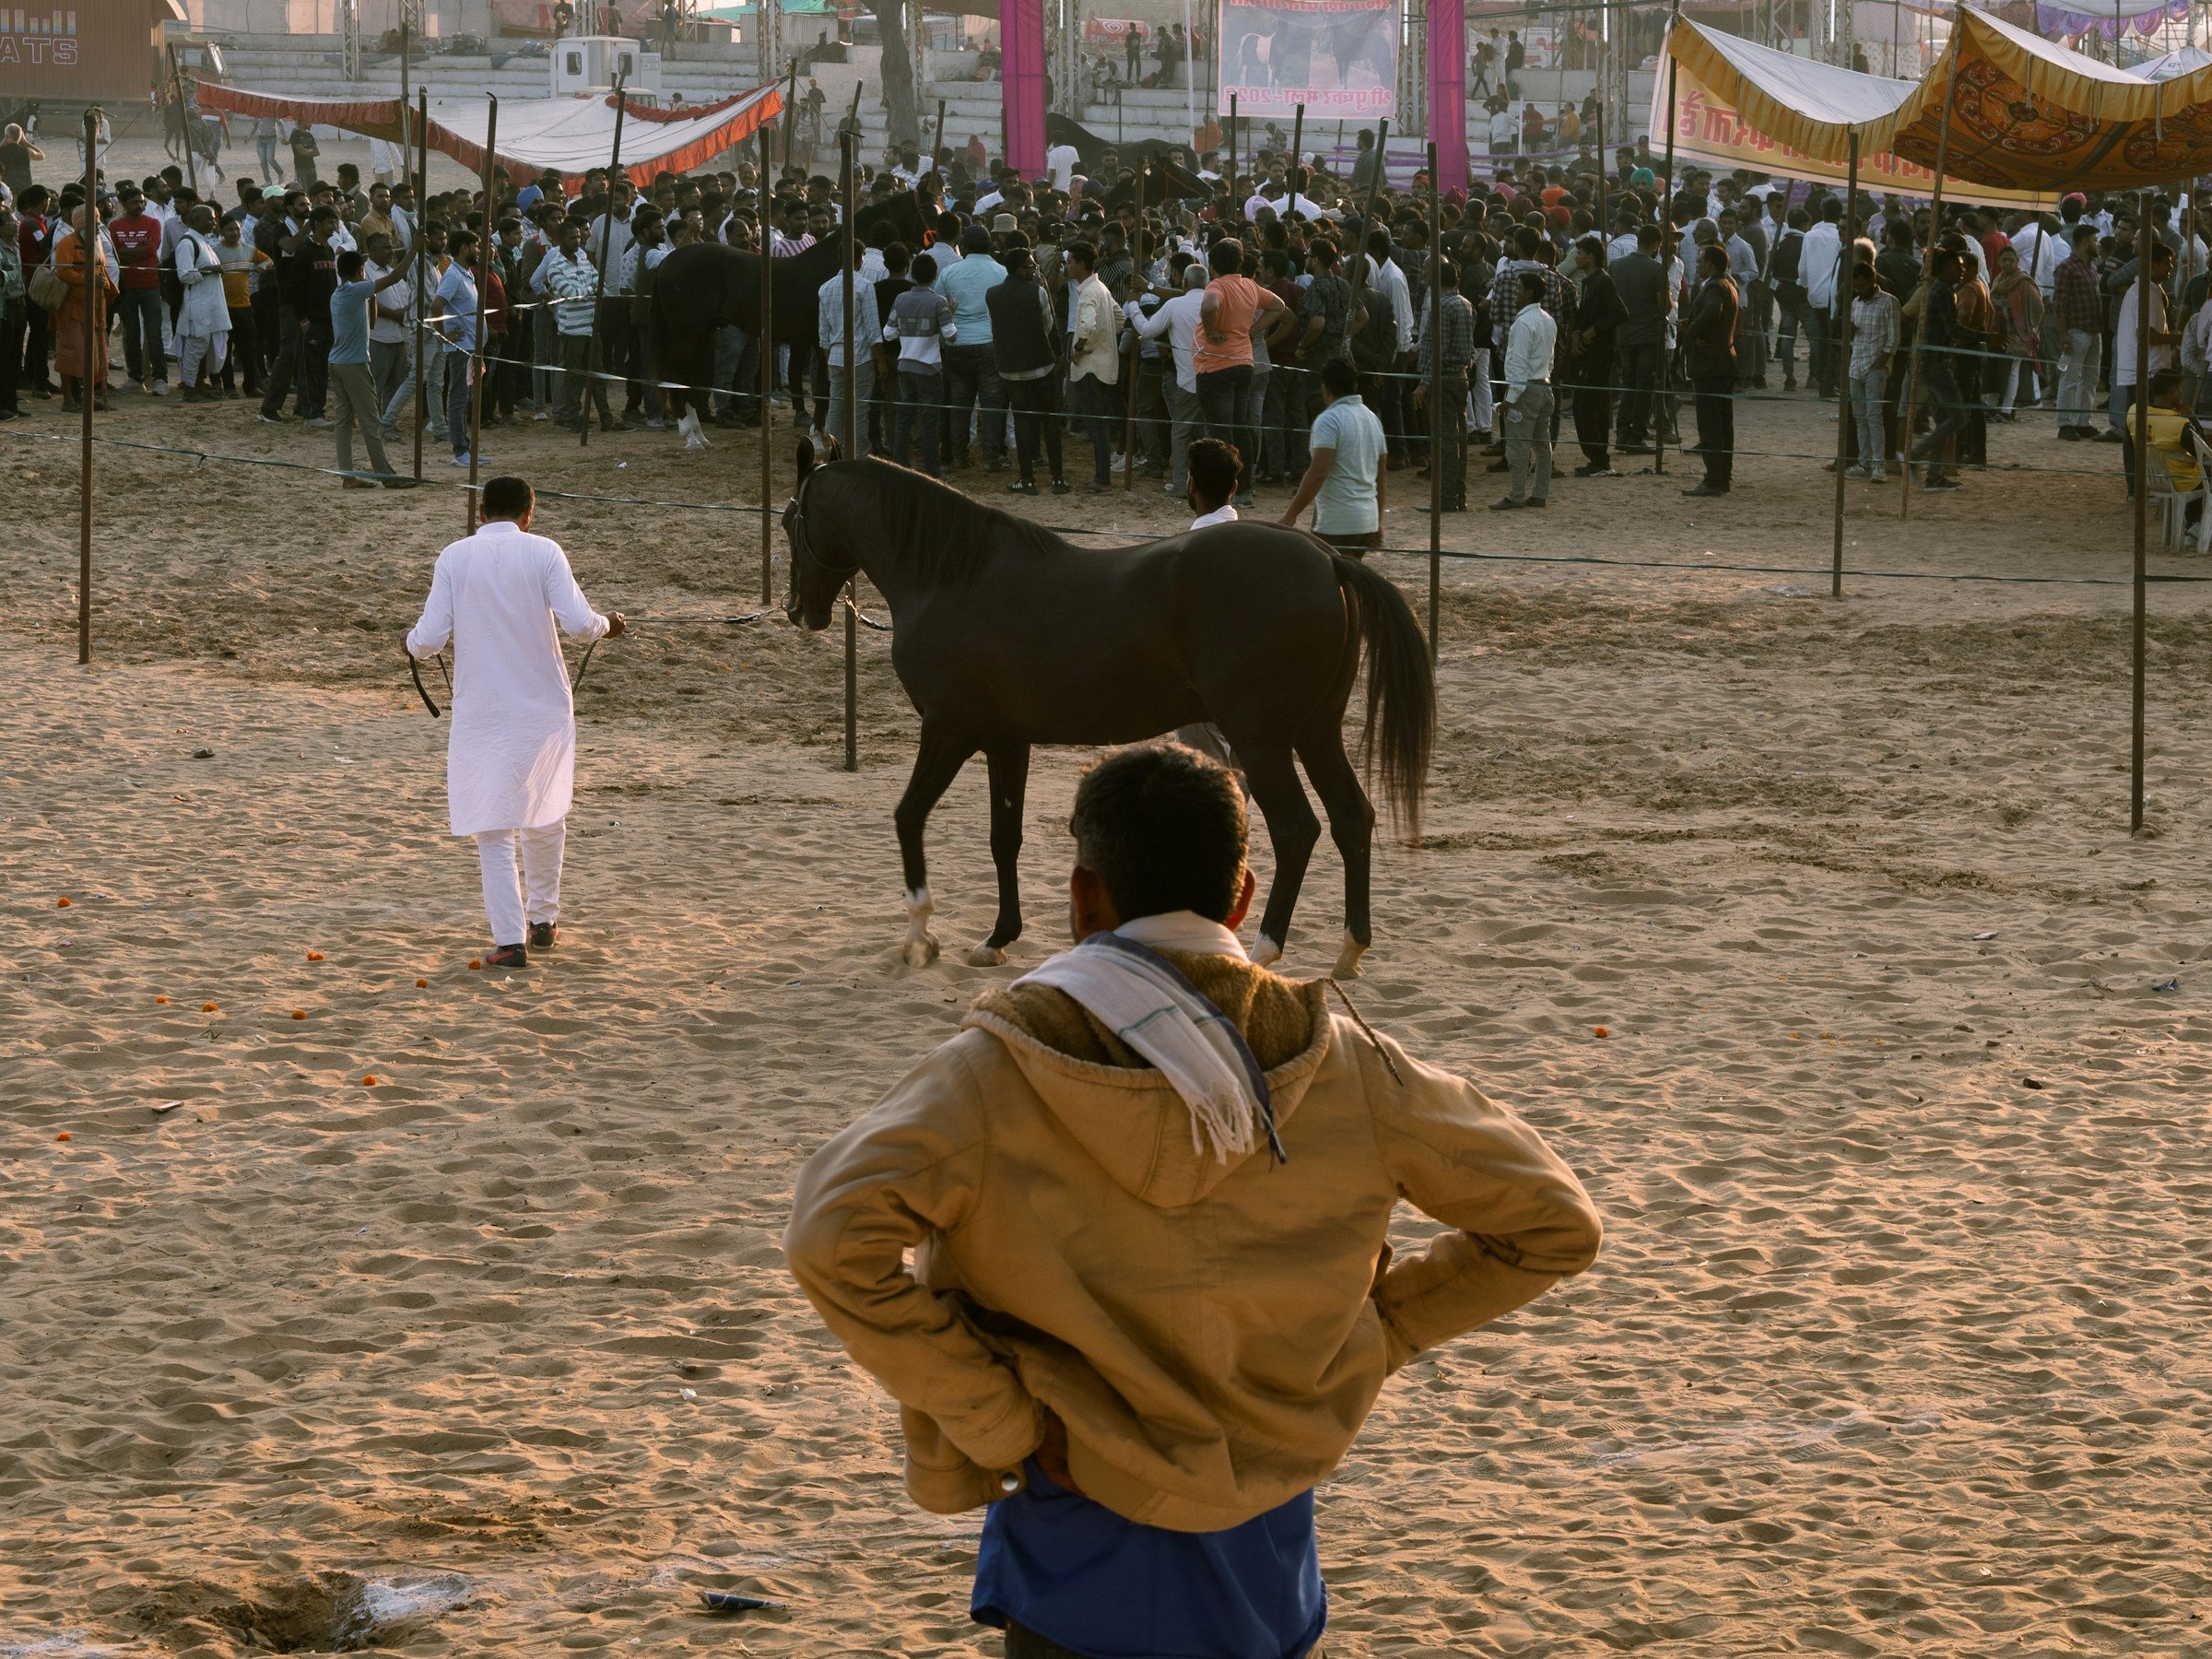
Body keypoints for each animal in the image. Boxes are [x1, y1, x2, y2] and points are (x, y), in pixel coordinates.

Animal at [654, 194, 933, 449]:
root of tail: (668, 261)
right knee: (675, 376)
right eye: (929, 207)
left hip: (702, 333)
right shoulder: (825, 342)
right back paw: (690, 437)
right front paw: (818, 438)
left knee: (687, 379)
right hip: (687, 335)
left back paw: (700, 435)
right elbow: (824, 388)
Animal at [778, 449, 1433, 982]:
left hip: (1264, 740)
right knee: (1352, 819)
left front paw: (919, 938)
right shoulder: (1005, 740)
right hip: (1315, 732)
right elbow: (1003, 837)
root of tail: (1327, 558)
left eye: (790, 521)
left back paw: (1264, 950)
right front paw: (997, 939)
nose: (798, 611)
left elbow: (908, 816)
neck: (951, 576)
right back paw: (1349, 952)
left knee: (1298, 829)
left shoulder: (948, 730)